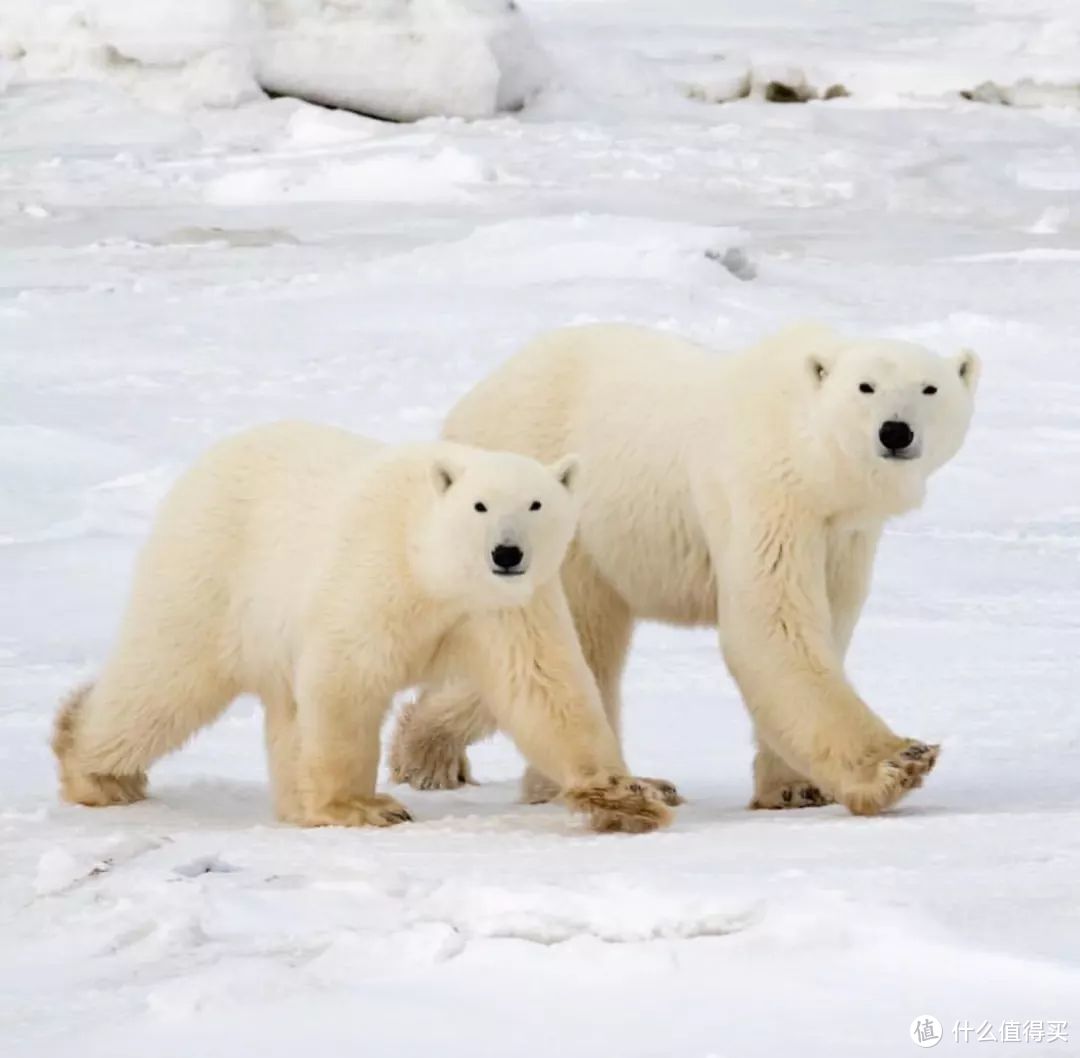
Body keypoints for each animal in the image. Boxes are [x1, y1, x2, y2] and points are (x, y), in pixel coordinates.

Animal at [54, 421, 673, 833]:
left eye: (537, 504)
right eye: (479, 505)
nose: (507, 552)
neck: (433, 568)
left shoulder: (508, 608)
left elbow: (546, 689)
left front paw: (627, 793)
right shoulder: (375, 575)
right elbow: (345, 679)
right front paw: (361, 806)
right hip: (210, 572)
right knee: (162, 682)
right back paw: (95, 768)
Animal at [393, 321, 984, 816]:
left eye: (930, 389)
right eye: (865, 387)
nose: (895, 431)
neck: (811, 460)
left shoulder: (845, 535)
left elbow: (828, 626)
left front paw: (794, 788)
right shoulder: (764, 493)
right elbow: (772, 623)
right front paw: (897, 764)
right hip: (547, 513)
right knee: (570, 640)